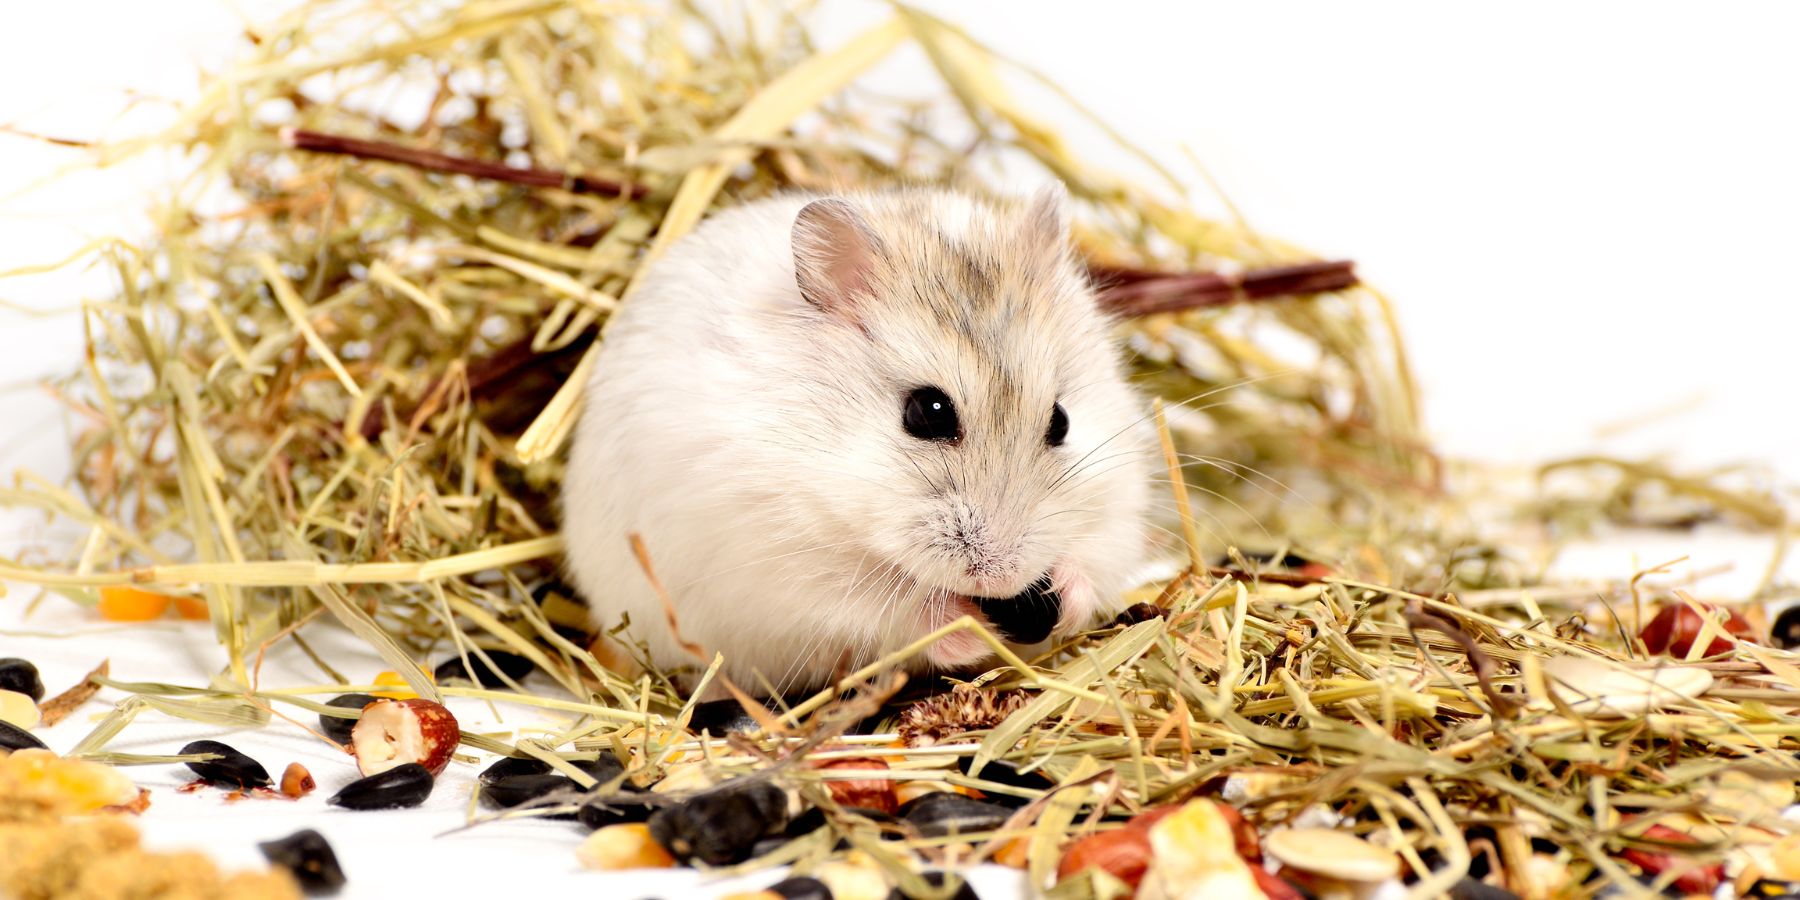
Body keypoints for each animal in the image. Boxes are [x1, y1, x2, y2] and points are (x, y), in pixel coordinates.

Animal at [561, 185, 1154, 694]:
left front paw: (1063, 598)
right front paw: (967, 628)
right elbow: (892, 613)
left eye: (1061, 420)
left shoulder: (1119, 505)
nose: (1004, 582)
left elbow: (1096, 558)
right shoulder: (782, 568)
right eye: (927, 412)